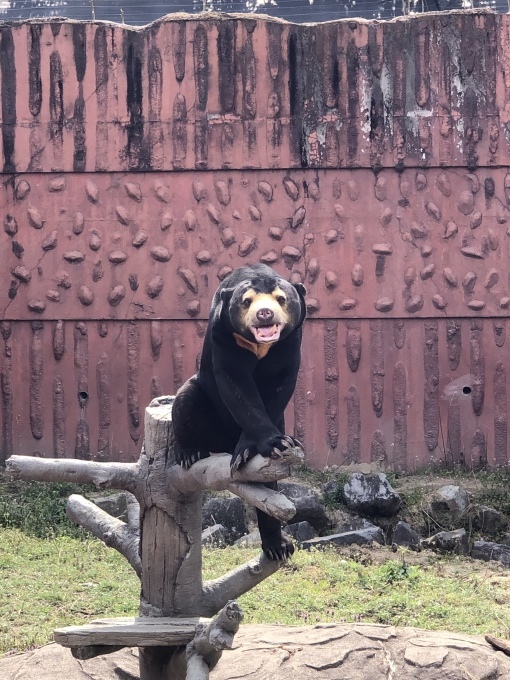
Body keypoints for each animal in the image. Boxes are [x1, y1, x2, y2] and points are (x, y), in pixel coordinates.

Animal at [173, 262, 304, 560]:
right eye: (247, 301)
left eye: (281, 298)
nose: (265, 313)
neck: (260, 345)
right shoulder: (224, 334)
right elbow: (236, 386)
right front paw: (268, 443)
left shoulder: (290, 341)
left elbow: (280, 384)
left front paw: (275, 444)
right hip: (200, 400)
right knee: (185, 399)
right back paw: (190, 452)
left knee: (269, 489)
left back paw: (277, 547)